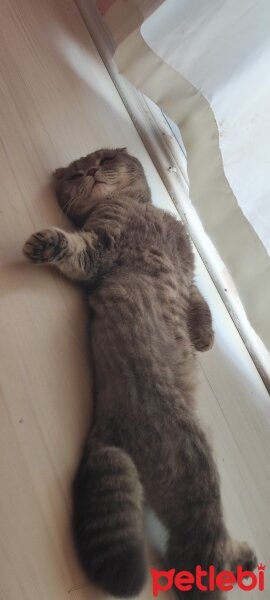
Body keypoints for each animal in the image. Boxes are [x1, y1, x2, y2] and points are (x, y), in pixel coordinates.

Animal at [22, 148, 255, 596]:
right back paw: (230, 562)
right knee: (196, 555)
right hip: (197, 472)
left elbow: (200, 303)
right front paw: (44, 243)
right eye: (76, 173)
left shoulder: (188, 272)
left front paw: (203, 338)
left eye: (103, 160)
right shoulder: (102, 244)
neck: (142, 207)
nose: (91, 171)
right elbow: (74, 247)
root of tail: (103, 428)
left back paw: (244, 557)